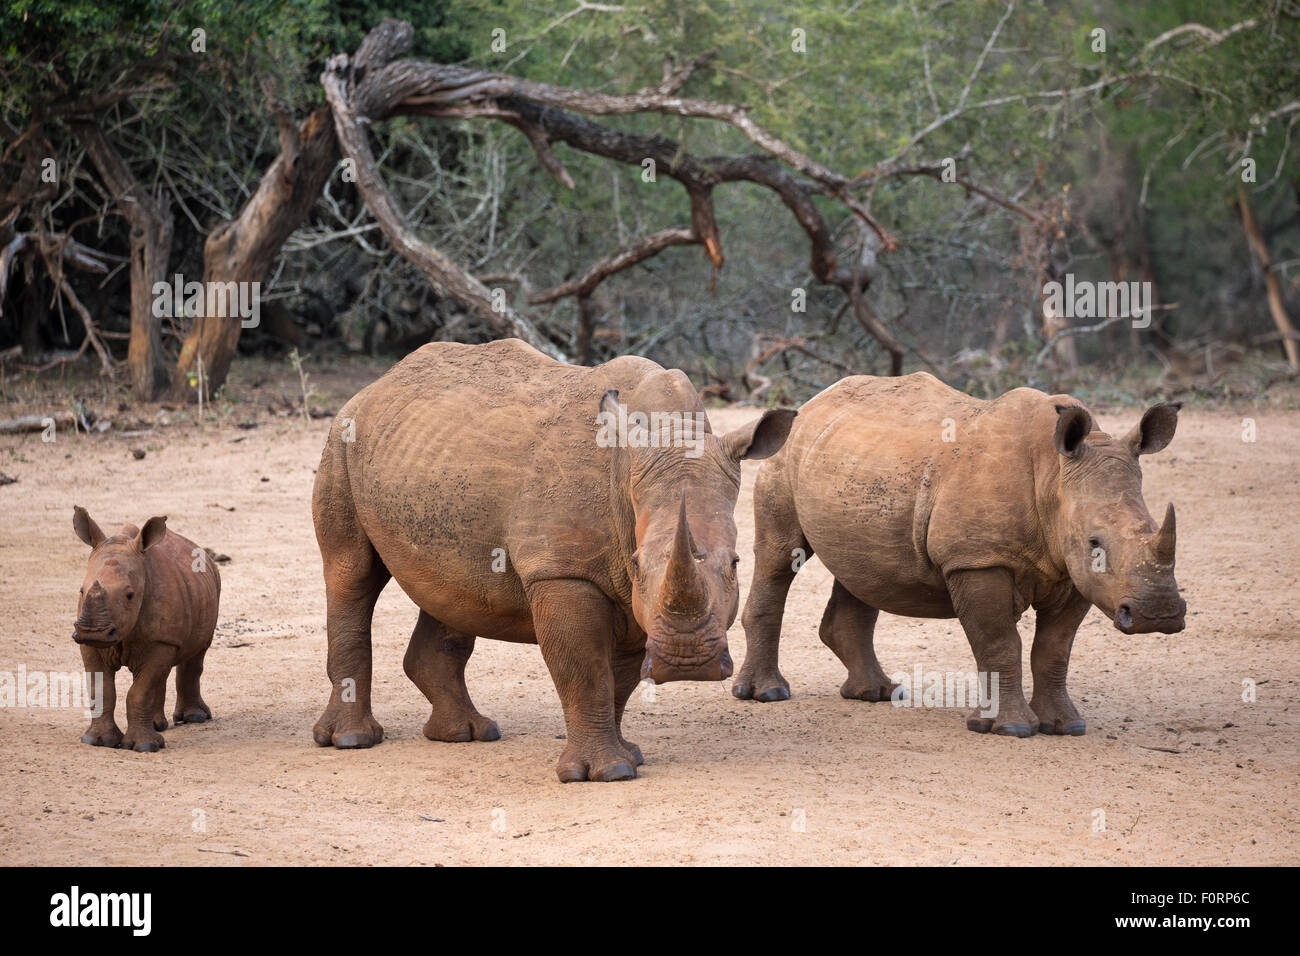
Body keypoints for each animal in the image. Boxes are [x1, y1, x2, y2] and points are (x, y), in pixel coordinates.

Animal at [70, 512, 218, 749]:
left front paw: (144, 747)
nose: (94, 632)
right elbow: (101, 689)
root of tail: (198, 549)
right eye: (81, 591)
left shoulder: (163, 640)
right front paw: (96, 741)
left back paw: (194, 718)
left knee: (196, 654)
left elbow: (140, 692)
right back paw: (159, 725)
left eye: (130, 595)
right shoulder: (89, 644)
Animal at [738, 374, 1185, 738]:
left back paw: (877, 693)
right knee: (779, 556)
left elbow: (1054, 650)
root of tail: (816, 400)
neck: (1055, 479)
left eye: (1150, 526)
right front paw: (1011, 729)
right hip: (783, 453)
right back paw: (768, 693)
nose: (1158, 615)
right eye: (1095, 542)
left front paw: (1066, 726)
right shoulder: (978, 560)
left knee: (862, 569)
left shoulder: (1074, 571)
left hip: (852, 466)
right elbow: (999, 644)